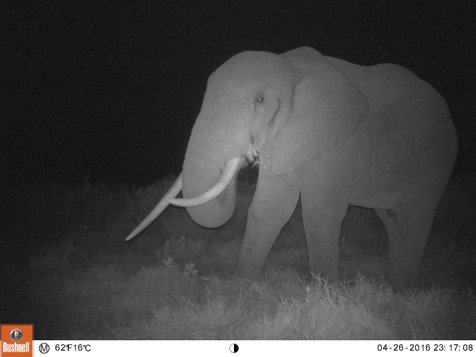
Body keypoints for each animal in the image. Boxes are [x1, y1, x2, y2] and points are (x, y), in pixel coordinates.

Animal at [126, 46, 458, 288]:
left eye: (260, 100)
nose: (245, 152)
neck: (290, 68)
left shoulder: (340, 143)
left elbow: (320, 215)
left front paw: (326, 294)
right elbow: (269, 210)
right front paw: (244, 288)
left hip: (435, 162)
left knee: (415, 219)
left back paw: (402, 290)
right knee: (392, 220)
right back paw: (393, 285)